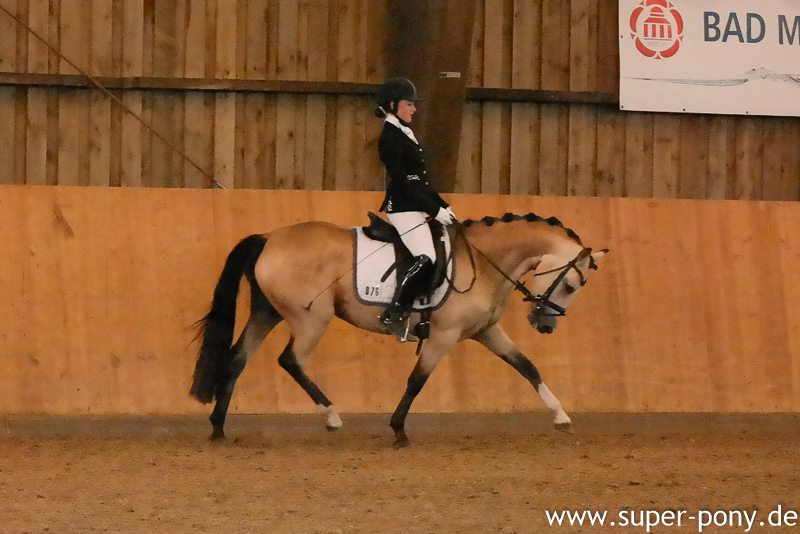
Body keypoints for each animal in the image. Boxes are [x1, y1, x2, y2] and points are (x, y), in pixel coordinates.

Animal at [190, 212, 607, 448]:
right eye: (572, 285)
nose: (545, 324)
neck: (484, 262)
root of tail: (269, 238)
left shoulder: (486, 331)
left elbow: (527, 366)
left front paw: (561, 417)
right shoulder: (443, 335)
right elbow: (416, 381)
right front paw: (399, 431)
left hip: (267, 313)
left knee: (236, 360)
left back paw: (218, 429)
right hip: (311, 319)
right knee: (290, 360)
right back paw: (331, 416)